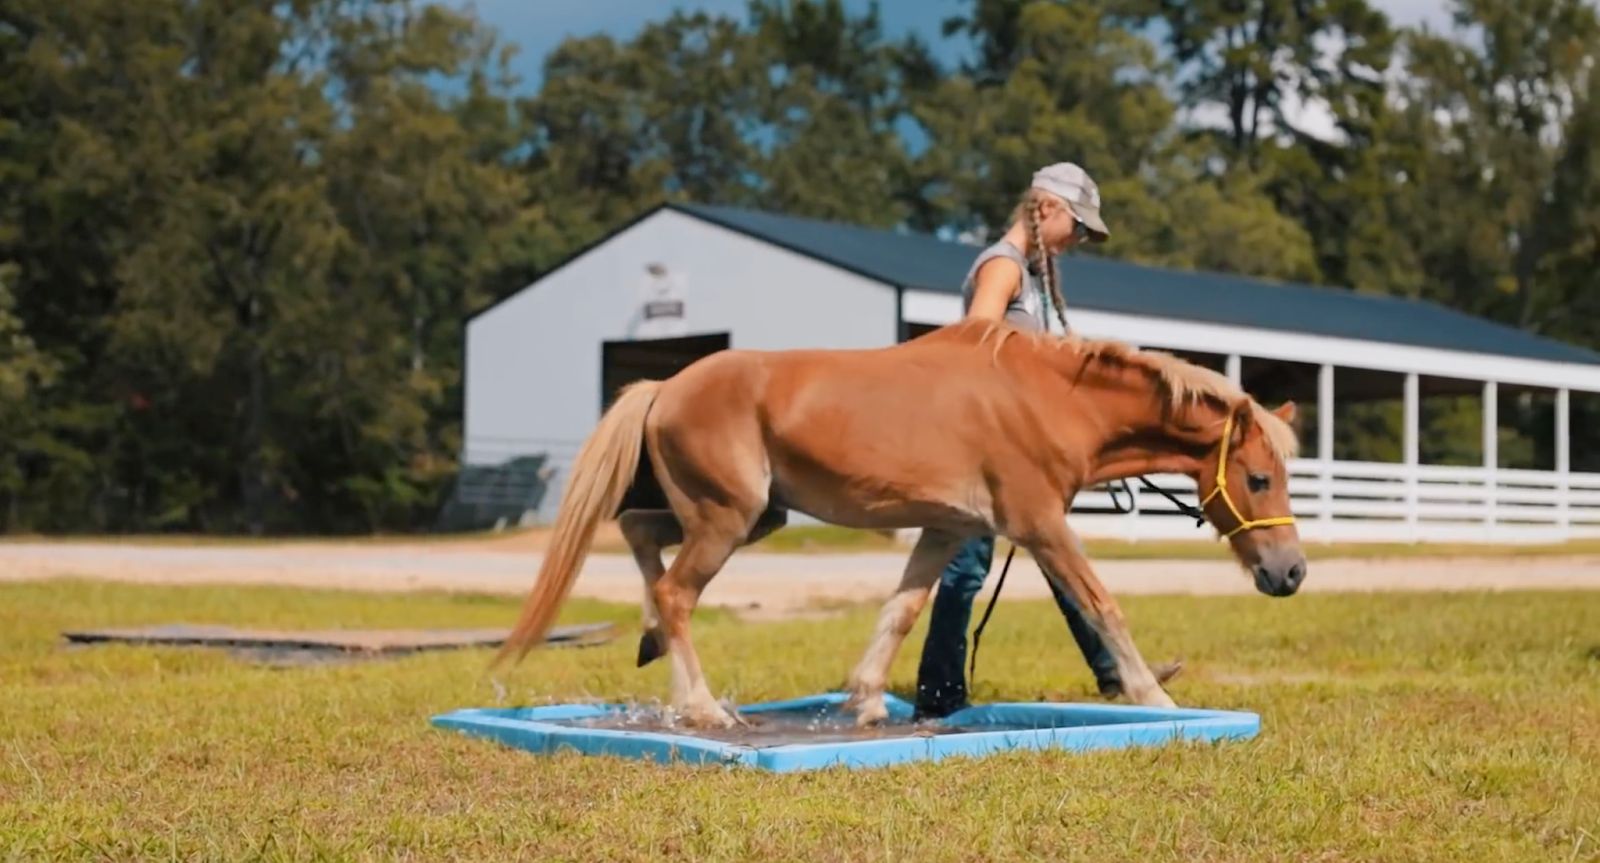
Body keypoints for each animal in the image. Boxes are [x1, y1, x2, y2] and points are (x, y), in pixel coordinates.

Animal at [490, 317, 1305, 729]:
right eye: (1259, 478)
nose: (1290, 571)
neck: (1049, 398)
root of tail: (665, 385)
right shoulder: (1041, 524)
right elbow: (1104, 605)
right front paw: (1156, 700)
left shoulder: (946, 530)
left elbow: (903, 609)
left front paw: (866, 699)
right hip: (729, 520)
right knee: (677, 593)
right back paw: (702, 708)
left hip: (751, 517)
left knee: (639, 539)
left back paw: (651, 644)